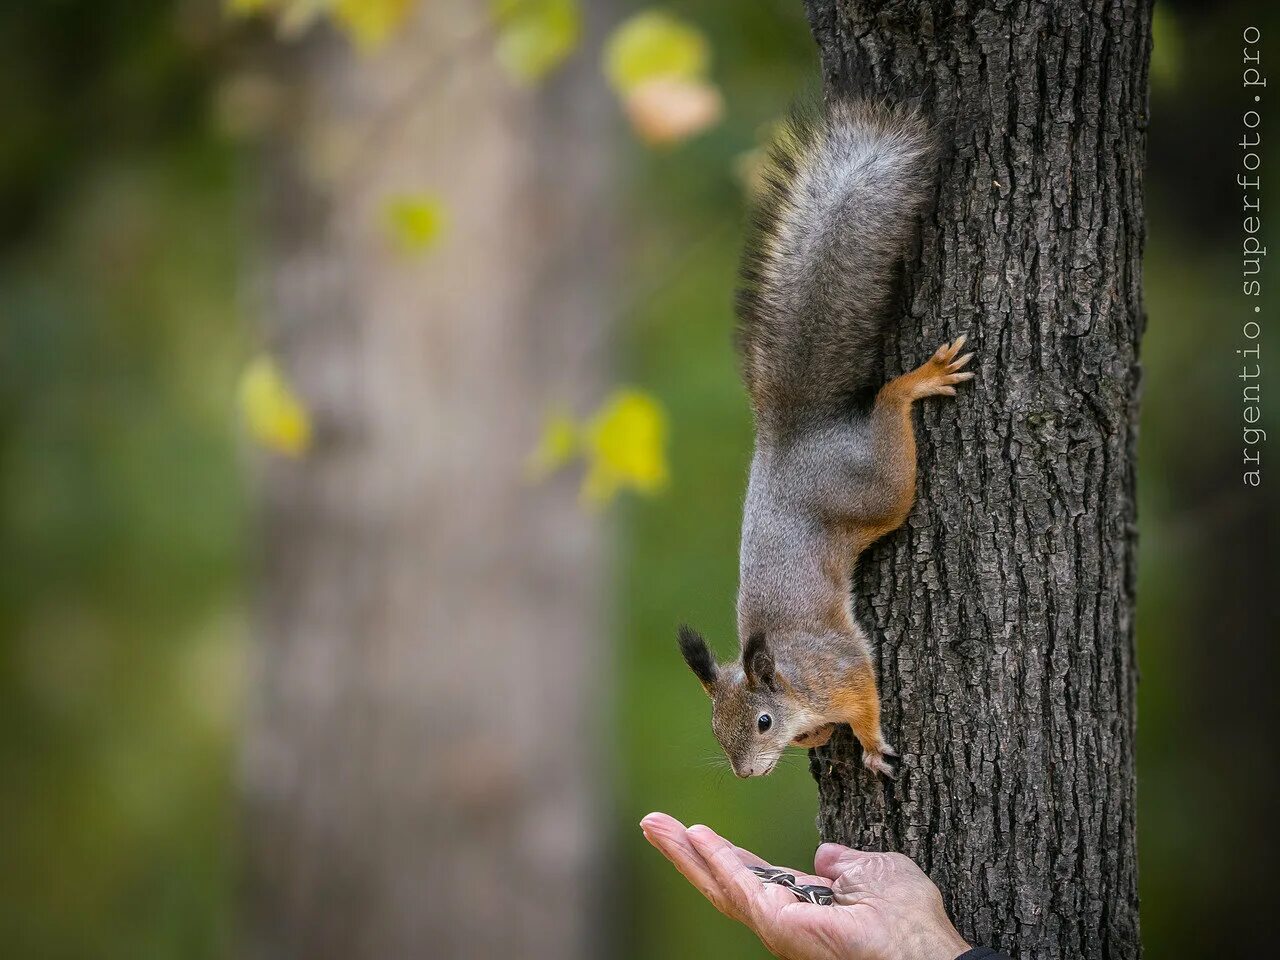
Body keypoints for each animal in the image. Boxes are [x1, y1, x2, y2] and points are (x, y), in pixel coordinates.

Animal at [680, 97, 967, 783]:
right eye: (715, 730)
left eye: (762, 721)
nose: (746, 772)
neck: (791, 676)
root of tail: (791, 434)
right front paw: (816, 739)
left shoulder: (842, 667)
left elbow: (864, 697)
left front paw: (868, 742)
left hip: (879, 488)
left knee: (889, 415)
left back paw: (916, 382)